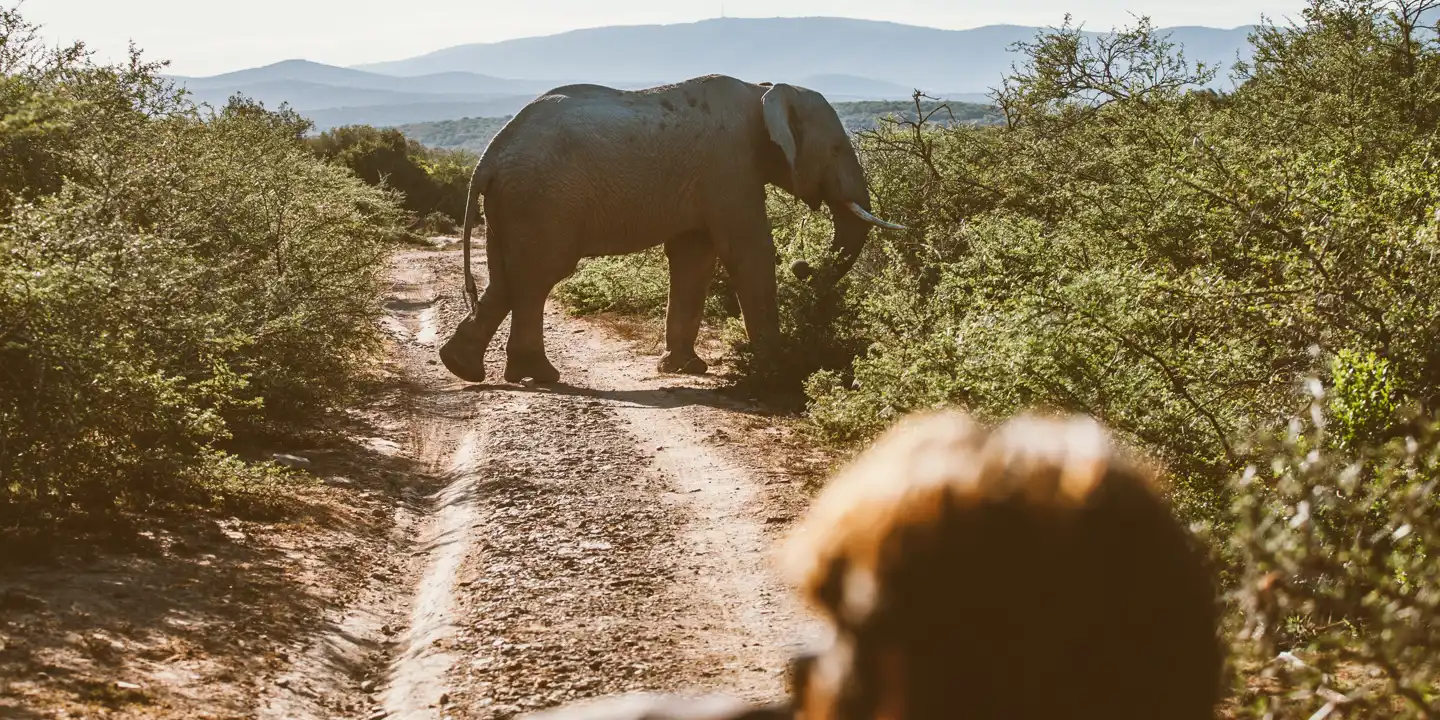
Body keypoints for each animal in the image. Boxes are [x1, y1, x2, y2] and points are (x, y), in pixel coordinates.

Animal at [438, 73, 905, 384]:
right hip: (541, 198)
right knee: (538, 276)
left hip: (514, 203)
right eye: (837, 149)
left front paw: (684, 368)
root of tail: (488, 155)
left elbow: (694, 257)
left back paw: (463, 367)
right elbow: (747, 250)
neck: (763, 91)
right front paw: (777, 367)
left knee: (507, 278)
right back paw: (537, 375)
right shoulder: (729, 166)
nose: (803, 268)